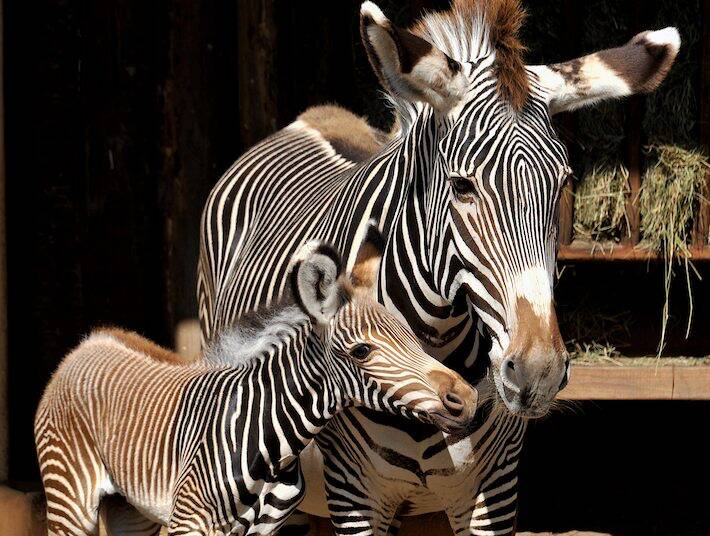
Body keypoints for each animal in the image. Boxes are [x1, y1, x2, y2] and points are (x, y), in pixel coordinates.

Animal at [33, 234, 478, 536]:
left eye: (409, 336)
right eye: (362, 351)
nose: (467, 398)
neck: (270, 440)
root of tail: (90, 341)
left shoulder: (269, 527)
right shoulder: (188, 521)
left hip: (130, 508)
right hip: (70, 499)